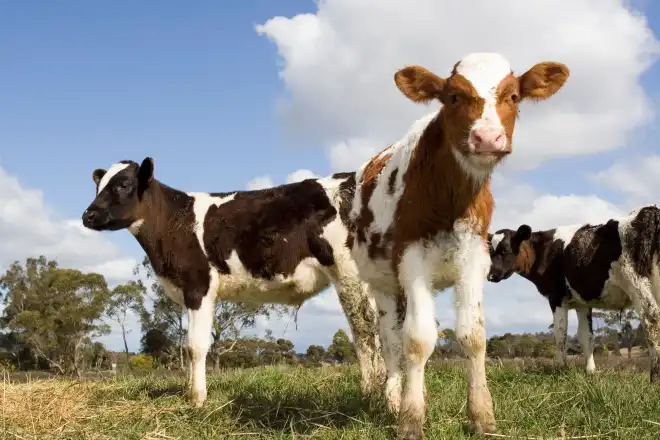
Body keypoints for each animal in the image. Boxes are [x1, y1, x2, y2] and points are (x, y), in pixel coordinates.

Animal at [81, 160, 386, 407]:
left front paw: (197, 399)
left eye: (123, 185)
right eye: (98, 186)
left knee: (365, 331)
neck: (175, 222)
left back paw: (372, 392)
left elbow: (195, 346)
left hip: (349, 274)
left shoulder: (199, 287)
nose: (88, 215)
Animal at [344, 52, 570, 439]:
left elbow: (473, 336)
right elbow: (417, 340)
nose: (487, 137)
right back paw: (393, 401)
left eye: (513, 96)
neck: (449, 197)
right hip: (382, 284)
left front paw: (483, 416)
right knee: (390, 343)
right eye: (453, 97)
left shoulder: (474, 259)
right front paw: (410, 419)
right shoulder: (412, 261)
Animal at [487, 205, 660, 381]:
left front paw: (560, 368)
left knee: (651, 319)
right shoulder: (582, 303)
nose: (491, 275)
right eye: (489, 251)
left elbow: (560, 334)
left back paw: (655, 376)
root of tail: (648, 212)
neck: (545, 250)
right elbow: (586, 336)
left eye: (505, 249)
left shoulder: (556, 297)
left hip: (636, 283)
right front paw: (590, 371)